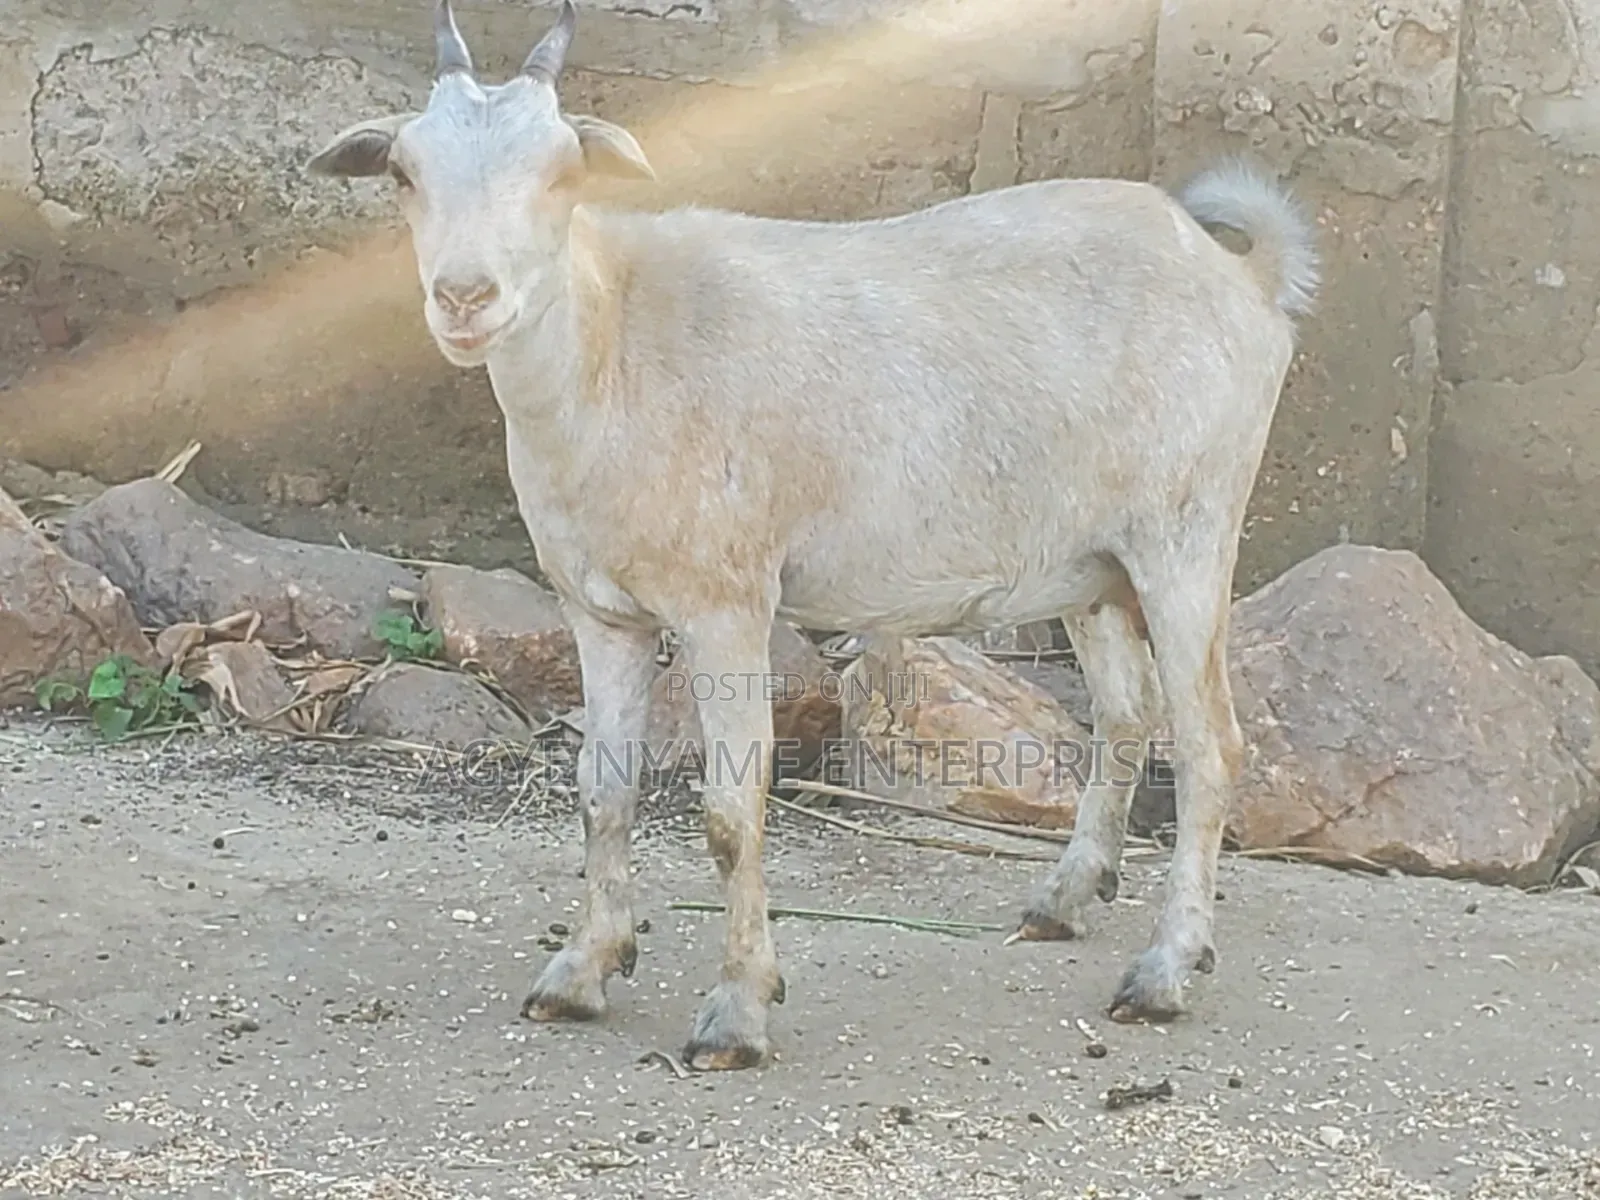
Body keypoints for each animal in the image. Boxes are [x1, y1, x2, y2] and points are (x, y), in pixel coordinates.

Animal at [306, 0, 1320, 1072]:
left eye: (562, 171)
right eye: (404, 172)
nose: (465, 298)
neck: (615, 340)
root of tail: (1243, 276)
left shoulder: (727, 602)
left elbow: (728, 812)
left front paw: (737, 1013)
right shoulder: (600, 610)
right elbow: (601, 791)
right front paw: (581, 973)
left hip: (1190, 528)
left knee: (1212, 745)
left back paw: (1164, 973)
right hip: (1091, 561)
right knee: (1126, 717)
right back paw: (1064, 898)